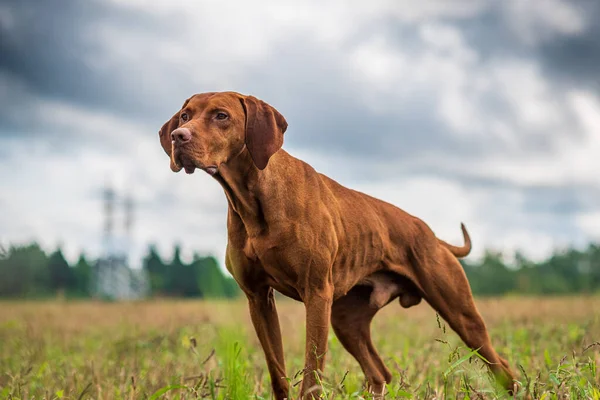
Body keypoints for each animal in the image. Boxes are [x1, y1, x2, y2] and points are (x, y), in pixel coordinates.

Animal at [157, 92, 516, 398]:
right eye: (185, 116)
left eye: (221, 115)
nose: (178, 137)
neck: (254, 197)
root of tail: (432, 236)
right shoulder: (258, 298)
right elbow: (278, 373)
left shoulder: (316, 294)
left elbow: (312, 374)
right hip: (347, 322)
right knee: (379, 373)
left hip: (460, 312)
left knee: (501, 366)